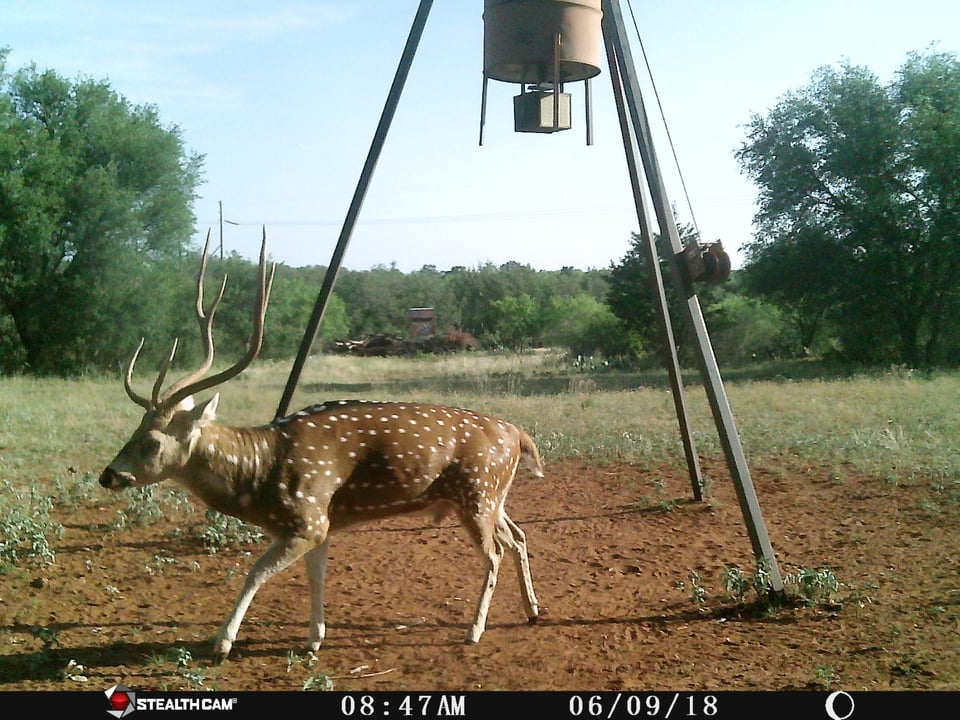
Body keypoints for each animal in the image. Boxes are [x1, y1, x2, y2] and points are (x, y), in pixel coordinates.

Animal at [98, 229, 543, 662]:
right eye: (134, 430)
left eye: (151, 442)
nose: (108, 475)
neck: (260, 476)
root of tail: (517, 433)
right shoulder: (320, 525)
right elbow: (316, 577)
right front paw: (314, 639)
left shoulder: (308, 519)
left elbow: (255, 572)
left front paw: (222, 644)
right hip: (492, 497)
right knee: (517, 536)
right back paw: (532, 610)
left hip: (477, 494)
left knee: (494, 553)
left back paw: (475, 631)